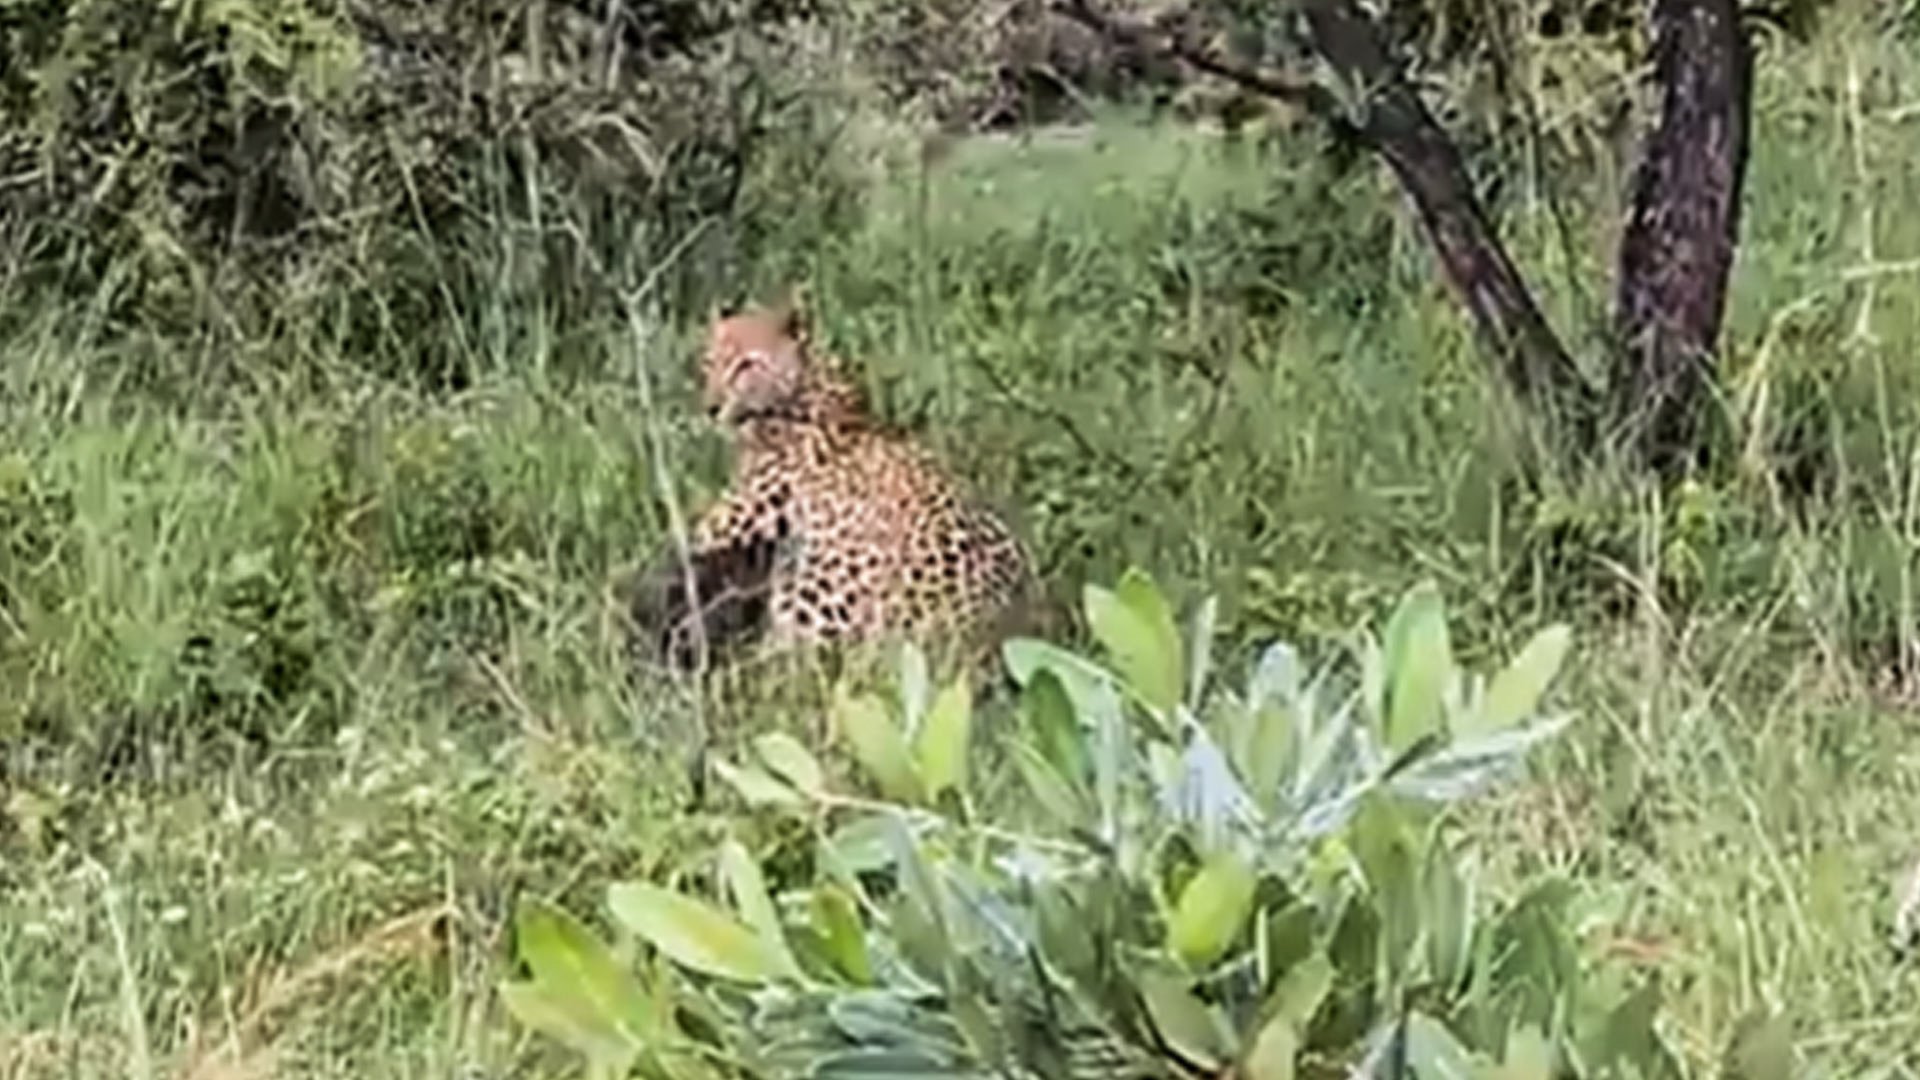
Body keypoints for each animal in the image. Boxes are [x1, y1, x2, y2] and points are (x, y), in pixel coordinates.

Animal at [630, 296, 1039, 672]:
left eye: (747, 364)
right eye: (710, 362)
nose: (711, 408)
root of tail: (973, 632)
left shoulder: (730, 526)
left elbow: (662, 558)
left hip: (806, 586)